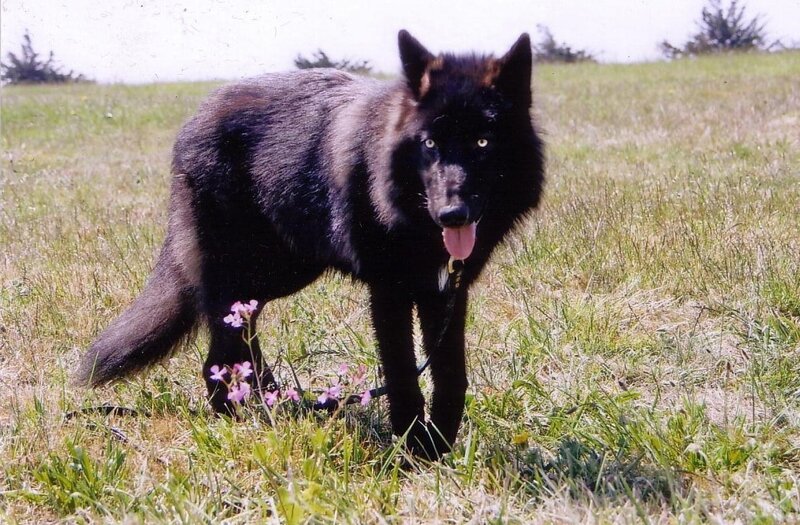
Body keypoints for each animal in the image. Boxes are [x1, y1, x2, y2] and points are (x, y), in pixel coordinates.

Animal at [76, 30, 544, 458]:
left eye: (483, 142)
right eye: (430, 143)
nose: (452, 215)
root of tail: (193, 120)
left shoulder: (445, 294)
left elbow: (451, 376)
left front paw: (438, 448)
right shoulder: (389, 294)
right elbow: (403, 376)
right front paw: (413, 450)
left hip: (279, 275)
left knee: (240, 336)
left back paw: (272, 401)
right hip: (246, 274)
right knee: (217, 352)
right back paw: (239, 417)